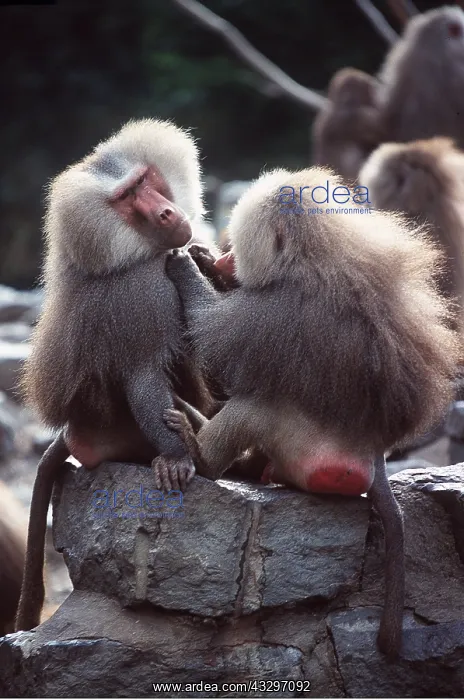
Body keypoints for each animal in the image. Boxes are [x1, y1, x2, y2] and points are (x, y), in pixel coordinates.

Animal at [15, 118, 218, 633]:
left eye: (146, 181)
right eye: (127, 199)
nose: (166, 213)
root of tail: (78, 431)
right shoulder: (142, 291)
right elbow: (145, 376)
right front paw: (176, 458)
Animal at [163, 166, 460, 658]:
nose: (226, 260)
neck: (316, 255)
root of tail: (372, 458)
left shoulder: (277, 310)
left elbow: (216, 347)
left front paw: (186, 262)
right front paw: (201, 258)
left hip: (307, 450)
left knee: (256, 404)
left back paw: (202, 455)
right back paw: (247, 466)